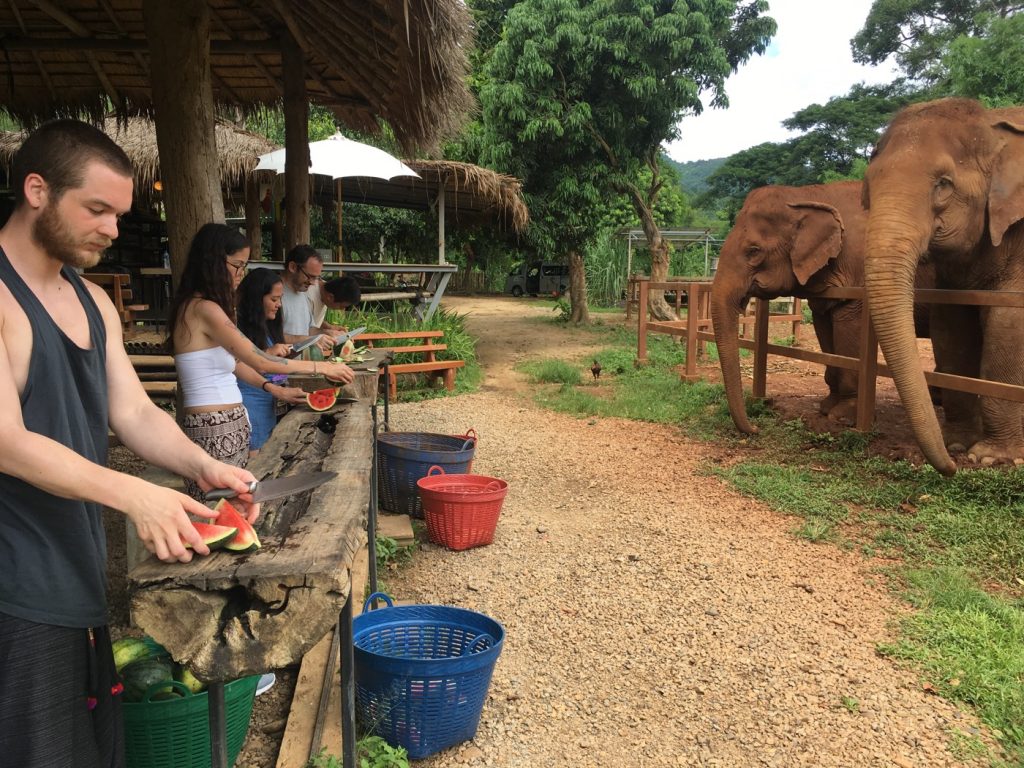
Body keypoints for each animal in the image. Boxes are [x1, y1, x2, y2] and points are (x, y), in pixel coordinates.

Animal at [712, 180, 937, 434]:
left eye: (754, 251)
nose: (756, 427)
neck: (806, 194)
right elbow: (825, 331)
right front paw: (825, 408)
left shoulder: (857, 276)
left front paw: (842, 417)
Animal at [864, 97, 1024, 475]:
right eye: (868, 188)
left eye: (943, 184)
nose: (951, 468)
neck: (994, 127)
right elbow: (951, 328)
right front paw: (957, 444)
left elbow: (1008, 324)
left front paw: (993, 458)